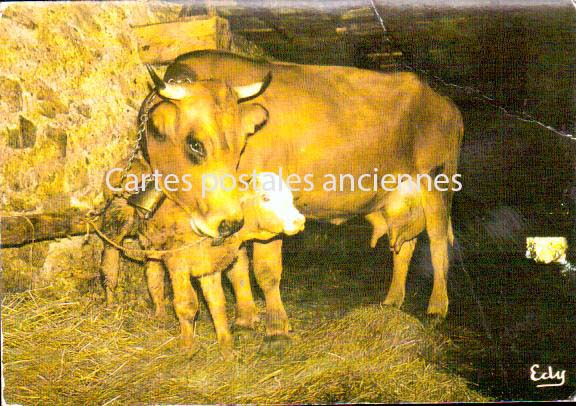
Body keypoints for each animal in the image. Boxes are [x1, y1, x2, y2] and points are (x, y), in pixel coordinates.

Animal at [99, 154, 306, 356]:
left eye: (290, 197)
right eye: (265, 198)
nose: (299, 220)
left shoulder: (208, 266)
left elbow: (217, 304)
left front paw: (227, 349)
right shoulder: (178, 264)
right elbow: (186, 305)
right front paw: (187, 348)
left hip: (153, 246)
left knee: (154, 277)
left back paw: (160, 315)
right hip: (114, 225)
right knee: (110, 268)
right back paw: (110, 306)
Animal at [161, 51, 464, 342]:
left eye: (240, 138)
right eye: (195, 143)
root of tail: (446, 104)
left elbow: (265, 269)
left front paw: (276, 330)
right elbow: (237, 265)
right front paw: (246, 319)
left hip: (436, 181)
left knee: (437, 241)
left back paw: (437, 307)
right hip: (399, 197)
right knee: (404, 245)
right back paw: (392, 301)